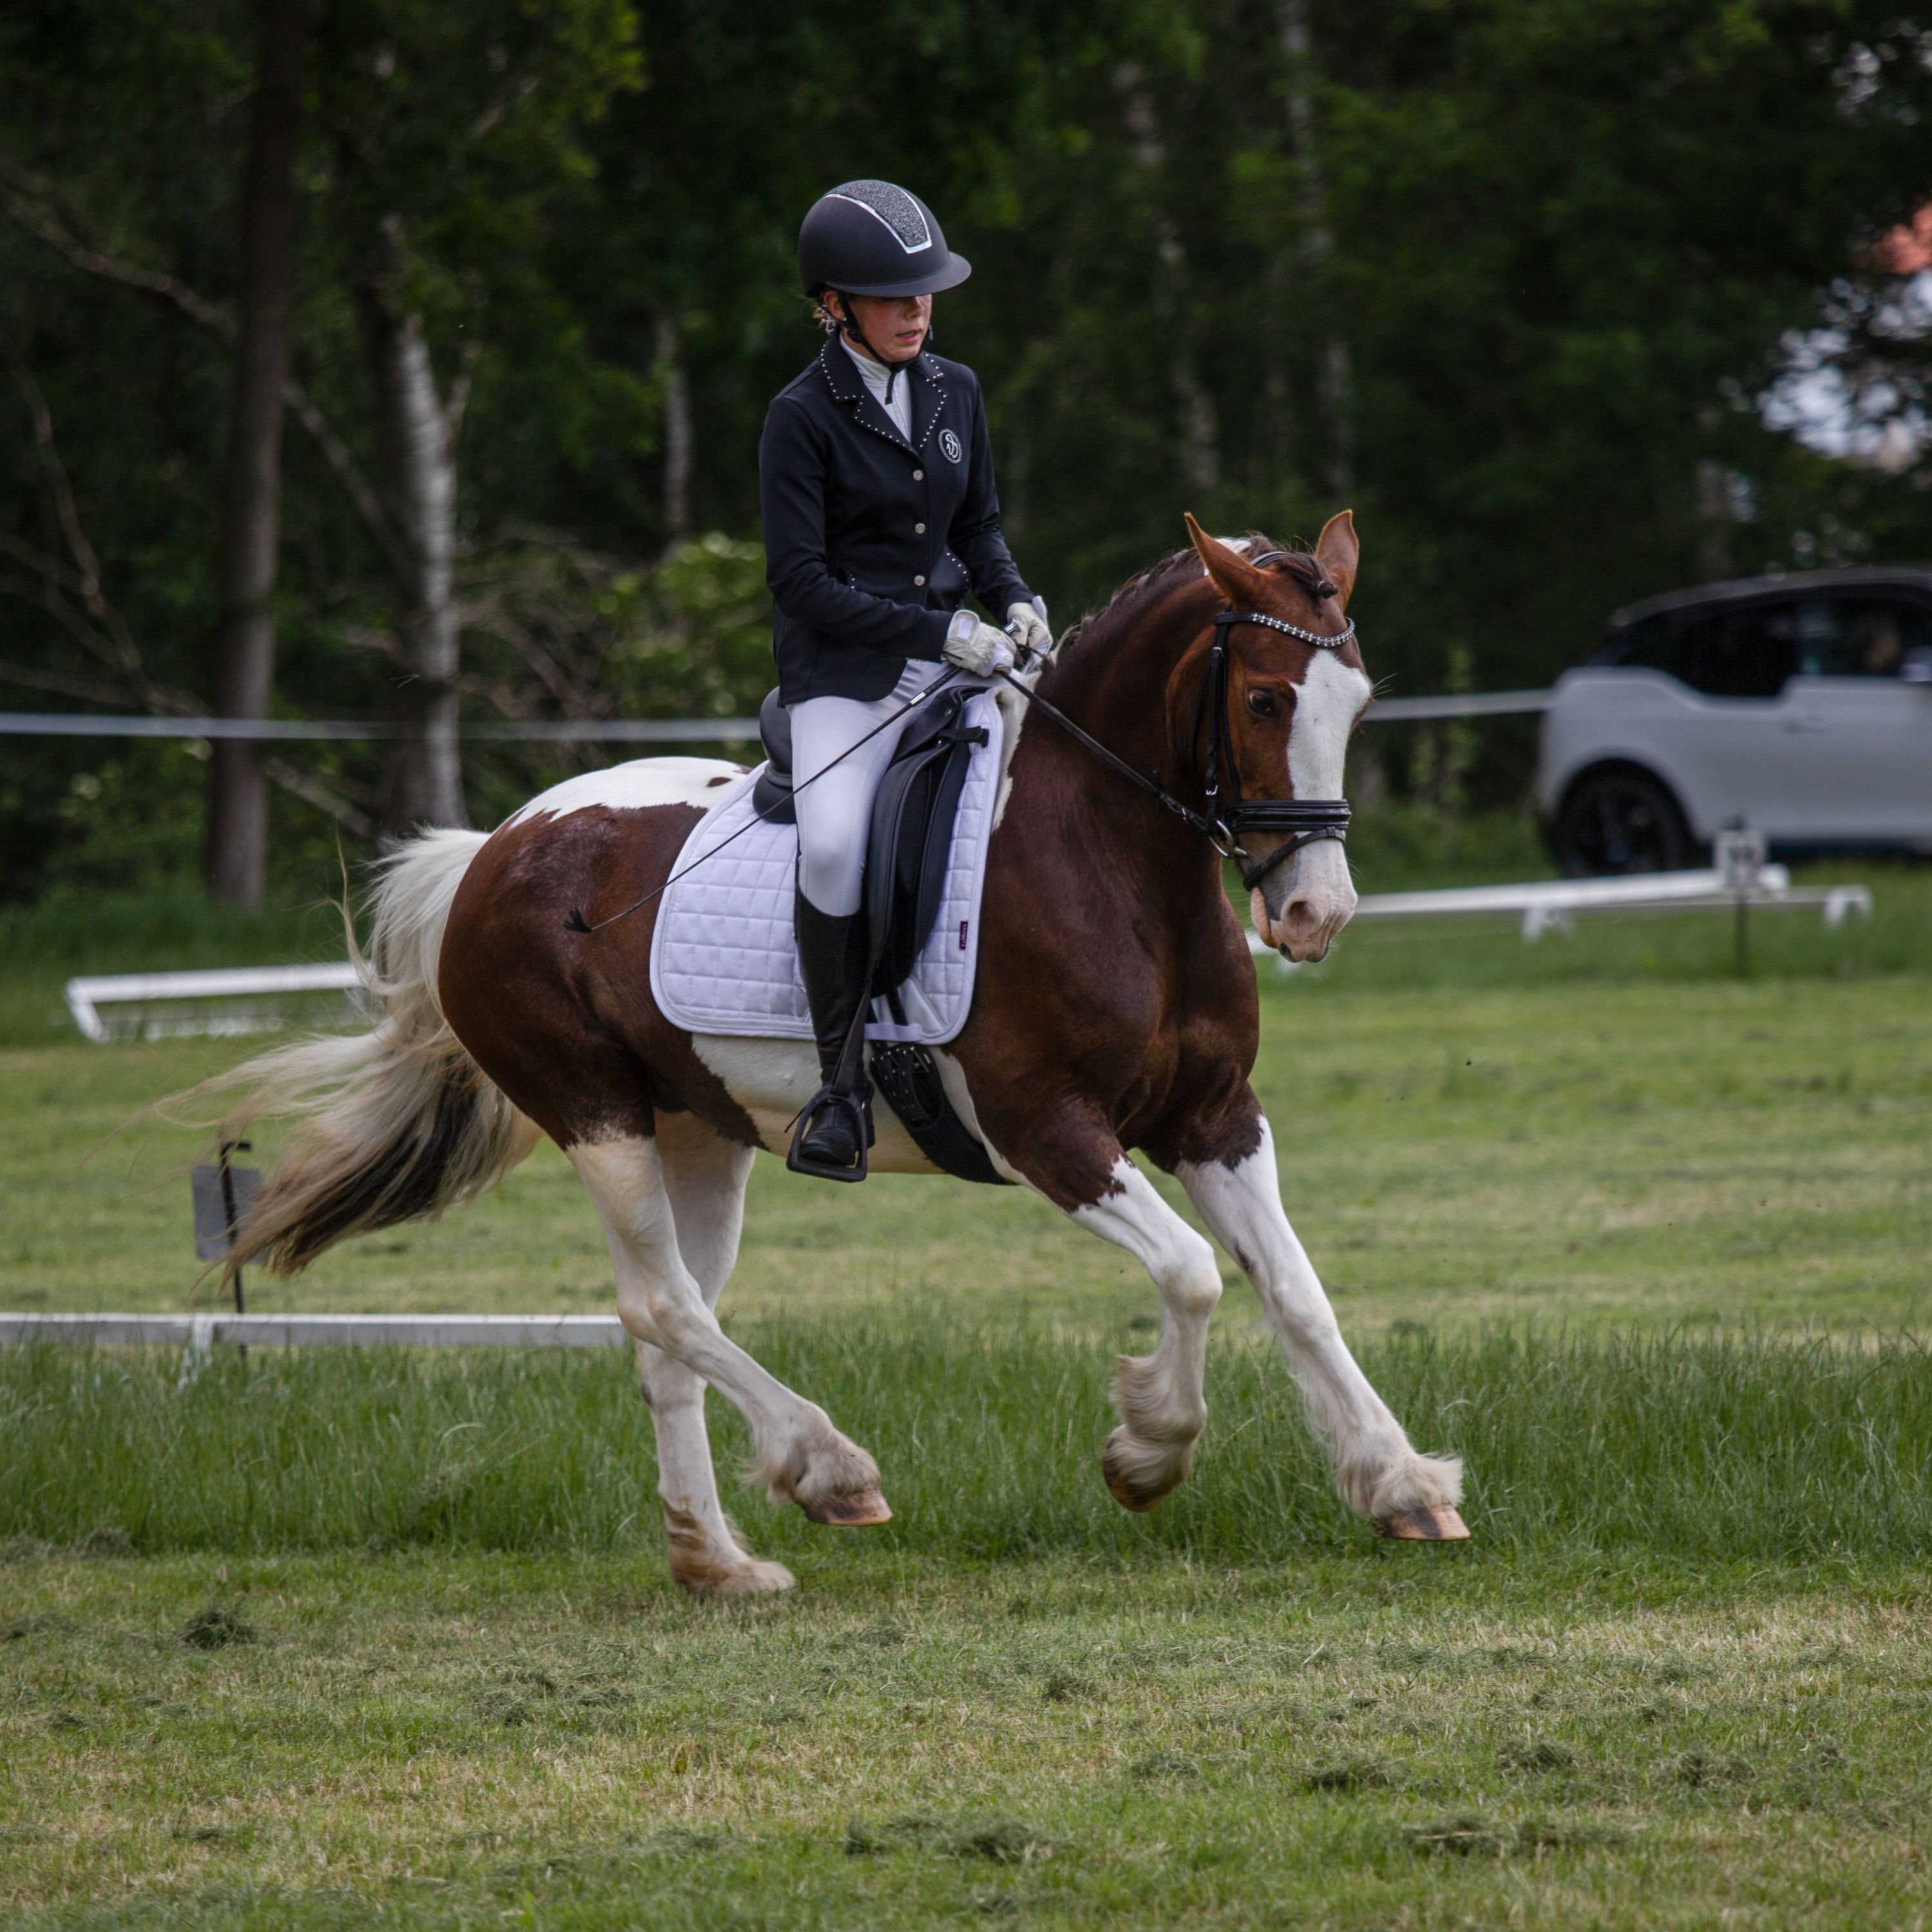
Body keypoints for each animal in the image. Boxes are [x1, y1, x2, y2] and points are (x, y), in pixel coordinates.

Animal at [201, 512, 1466, 1594]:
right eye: (1262, 697)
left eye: (1357, 707)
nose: (1314, 916)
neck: (1115, 862)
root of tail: (498, 847)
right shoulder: (1049, 1131)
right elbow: (1194, 1274)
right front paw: (1147, 1453)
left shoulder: (1215, 1118)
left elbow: (1296, 1292)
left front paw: (1400, 1483)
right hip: (597, 1114)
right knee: (667, 1309)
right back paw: (827, 1469)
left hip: (697, 1133)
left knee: (668, 1328)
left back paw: (718, 1562)